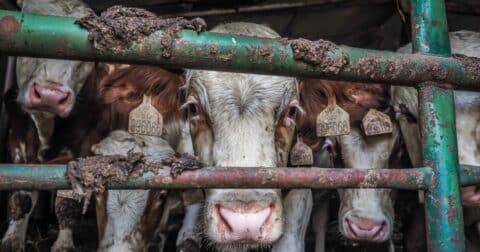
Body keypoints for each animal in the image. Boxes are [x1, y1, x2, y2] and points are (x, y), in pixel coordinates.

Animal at [0, 0, 95, 251]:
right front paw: (12, 239)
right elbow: (20, 196)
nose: (50, 95)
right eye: (28, 27)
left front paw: (64, 244)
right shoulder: (18, 147)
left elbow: (68, 203)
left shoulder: (79, 151)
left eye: (88, 54)